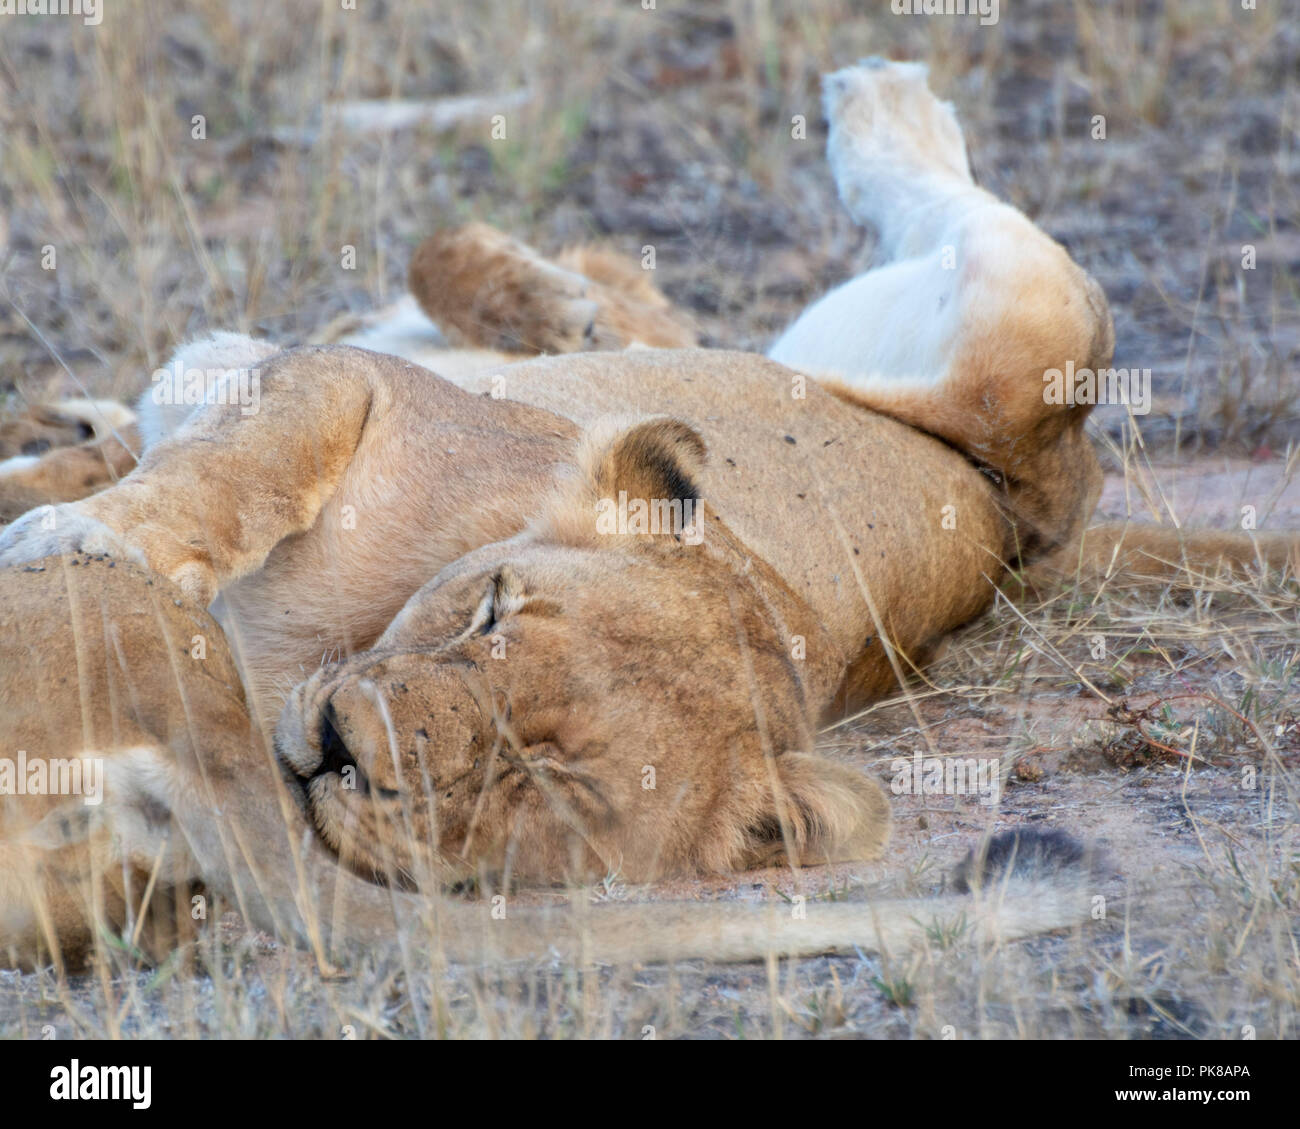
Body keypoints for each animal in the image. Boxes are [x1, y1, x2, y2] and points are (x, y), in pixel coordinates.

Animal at [0, 60, 1292, 971]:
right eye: (488, 611)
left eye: (548, 782)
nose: (343, 745)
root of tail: (1040, 525)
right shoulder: (355, 384)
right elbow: (230, 466)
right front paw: (83, 526)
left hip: (1023, 341)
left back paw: (869, 106)